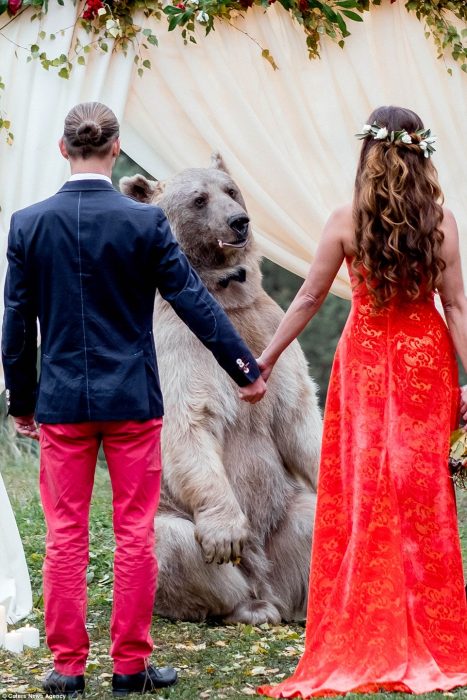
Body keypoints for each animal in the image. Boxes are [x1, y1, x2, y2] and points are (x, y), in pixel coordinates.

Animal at [120, 154, 322, 624]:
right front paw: (225, 534)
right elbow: (189, 421)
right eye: (199, 199)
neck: (224, 295)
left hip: (284, 514)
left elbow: (297, 415)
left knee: (310, 523)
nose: (239, 221)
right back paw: (245, 607)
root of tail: (269, 584)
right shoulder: (180, 343)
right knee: (172, 545)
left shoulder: (267, 330)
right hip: (176, 517)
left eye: (231, 190)